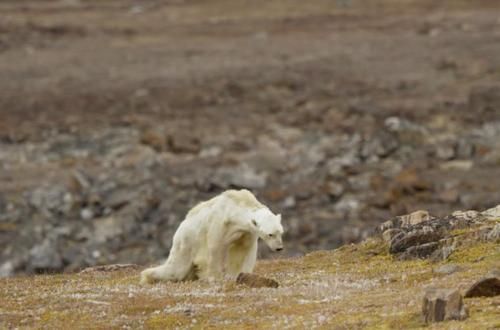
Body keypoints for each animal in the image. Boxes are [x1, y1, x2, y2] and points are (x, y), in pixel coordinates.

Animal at [140, 188, 286, 284]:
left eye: (281, 232)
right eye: (270, 234)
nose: (279, 248)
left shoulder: (246, 232)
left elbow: (242, 250)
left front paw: (237, 275)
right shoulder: (220, 223)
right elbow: (215, 247)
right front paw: (214, 277)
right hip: (186, 242)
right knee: (175, 269)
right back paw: (147, 276)